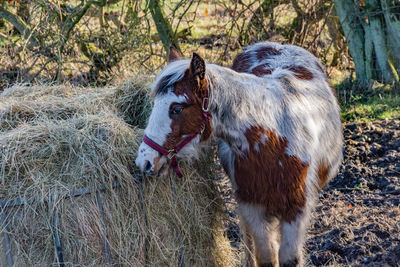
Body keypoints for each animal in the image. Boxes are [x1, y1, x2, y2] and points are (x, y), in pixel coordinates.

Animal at [136, 43, 342, 266]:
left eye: (177, 108)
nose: (144, 161)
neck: (275, 138)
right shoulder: (253, 207)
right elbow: (266, 257)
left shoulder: (296, 211)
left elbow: (289, 259)